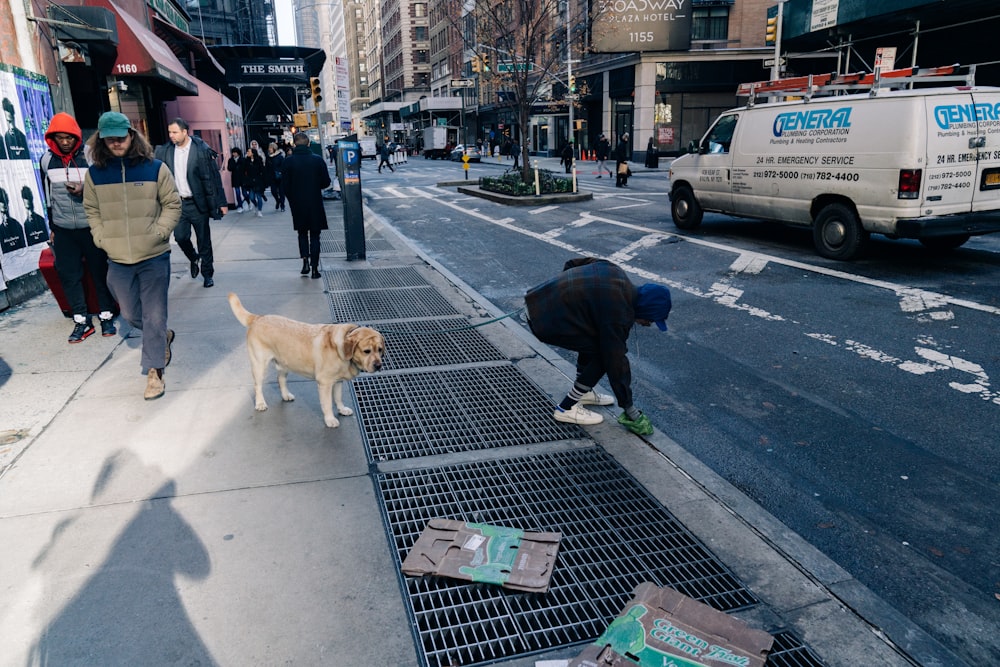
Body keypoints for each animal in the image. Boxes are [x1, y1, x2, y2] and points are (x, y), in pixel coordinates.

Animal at [229, 292, 384, 428]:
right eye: (366, 351)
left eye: (380, 350)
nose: (378, 366)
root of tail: (258, 318)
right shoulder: (324, 383)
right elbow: (328, 404)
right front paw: (330, 419)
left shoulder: (338, 381)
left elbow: (338, 397)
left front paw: (342, 409)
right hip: (259, 365)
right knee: (257, 386)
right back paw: (260, 403)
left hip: (284, 362)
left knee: (281, 379)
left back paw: (285, 395)